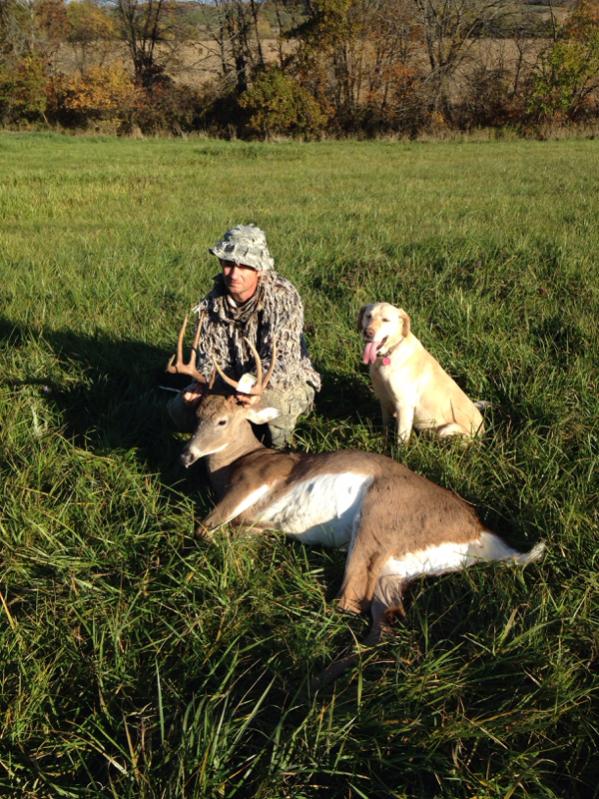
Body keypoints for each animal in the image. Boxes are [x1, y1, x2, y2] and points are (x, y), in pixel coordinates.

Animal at [358, 304, 486, 446]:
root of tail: (482, 431)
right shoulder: (384, 400)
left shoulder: (404, 405)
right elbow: (386, 426)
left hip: (447, 430)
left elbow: (401, 440)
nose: (367, 332)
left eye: (385, 320)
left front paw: (399, 451)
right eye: (368, 316)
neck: (389, 355)